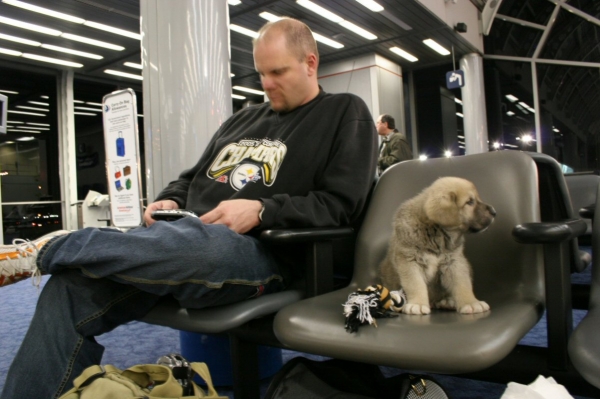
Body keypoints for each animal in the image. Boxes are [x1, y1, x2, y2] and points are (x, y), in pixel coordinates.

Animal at [380, 178, 496, 316]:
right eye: (470, 202)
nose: (494, 212)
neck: (435, 234)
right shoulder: (409, 261)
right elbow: (416, 284)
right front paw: (418, 304)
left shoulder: (454, 262)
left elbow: (463, 284)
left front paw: (471, 303)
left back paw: (447, 301)